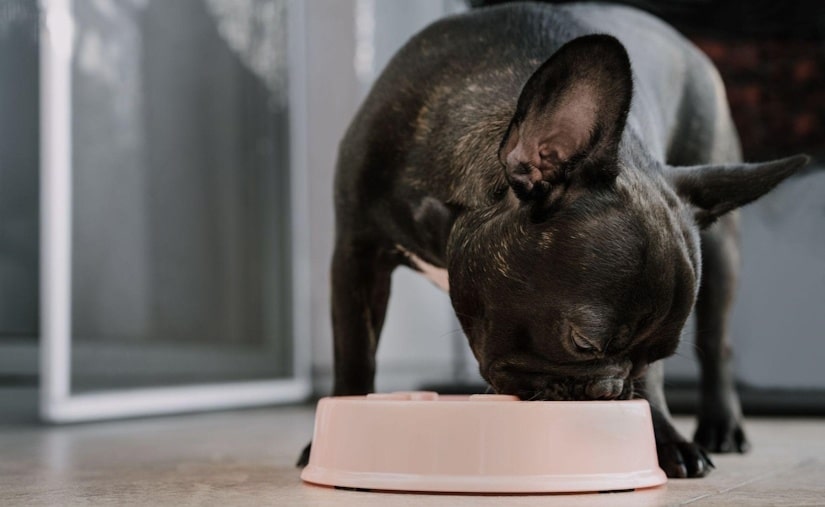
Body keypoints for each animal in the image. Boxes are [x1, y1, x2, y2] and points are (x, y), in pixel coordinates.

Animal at [300, 1, 808, 478]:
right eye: (583, 344)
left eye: (655, 356)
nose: (609, 391)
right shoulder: (356, 256)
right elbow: (354, 353)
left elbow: (658, 383)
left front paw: (663, 436)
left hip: (722, 252)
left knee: (719, 342)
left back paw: (723, 425)